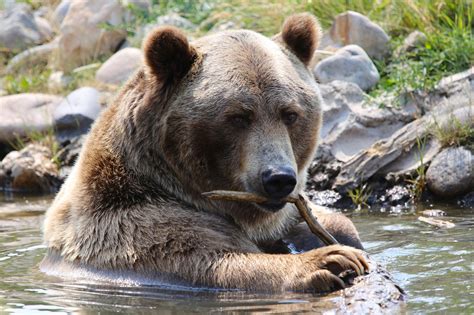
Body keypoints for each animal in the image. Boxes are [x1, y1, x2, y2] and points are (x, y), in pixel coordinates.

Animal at [41, 12, 366, 294]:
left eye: (290, 114)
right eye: (238, 117)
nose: (278, 178)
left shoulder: (279, 219)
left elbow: (324, 222)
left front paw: (342, 241)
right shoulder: (134, 227)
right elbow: (217, 259)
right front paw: (330, 260)